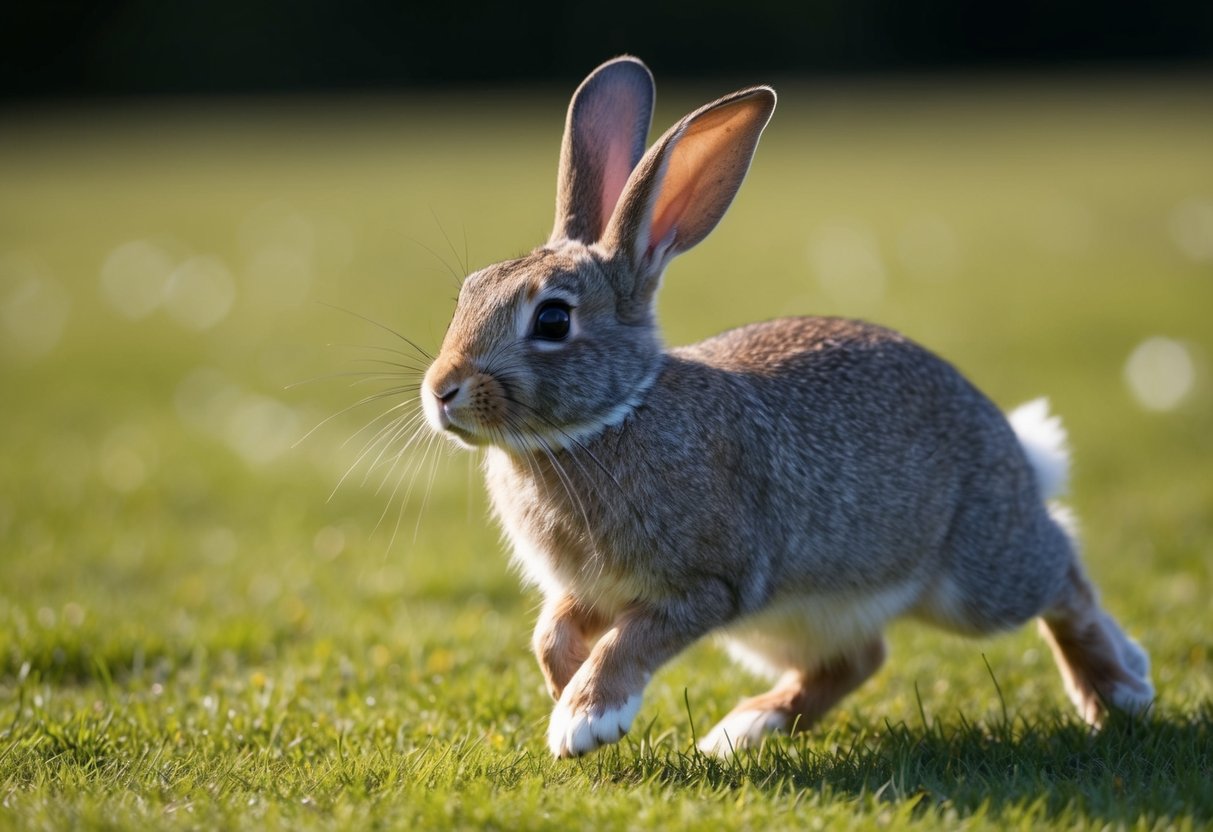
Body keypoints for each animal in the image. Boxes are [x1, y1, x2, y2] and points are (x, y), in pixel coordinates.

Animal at [419, 55, 1154, 758]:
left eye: (552, 320)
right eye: (468, 292)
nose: (441, 390)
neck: (613, 415)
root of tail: (1015, 453)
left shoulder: (707, 584)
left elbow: (630, 641)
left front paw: (585, 718)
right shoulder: (588, 592)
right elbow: (551, 633)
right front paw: (562, 684)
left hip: (974, 581)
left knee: (1061, 573)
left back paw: (1120, 686)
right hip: (785, 626)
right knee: (859, 658)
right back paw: (742, 731)